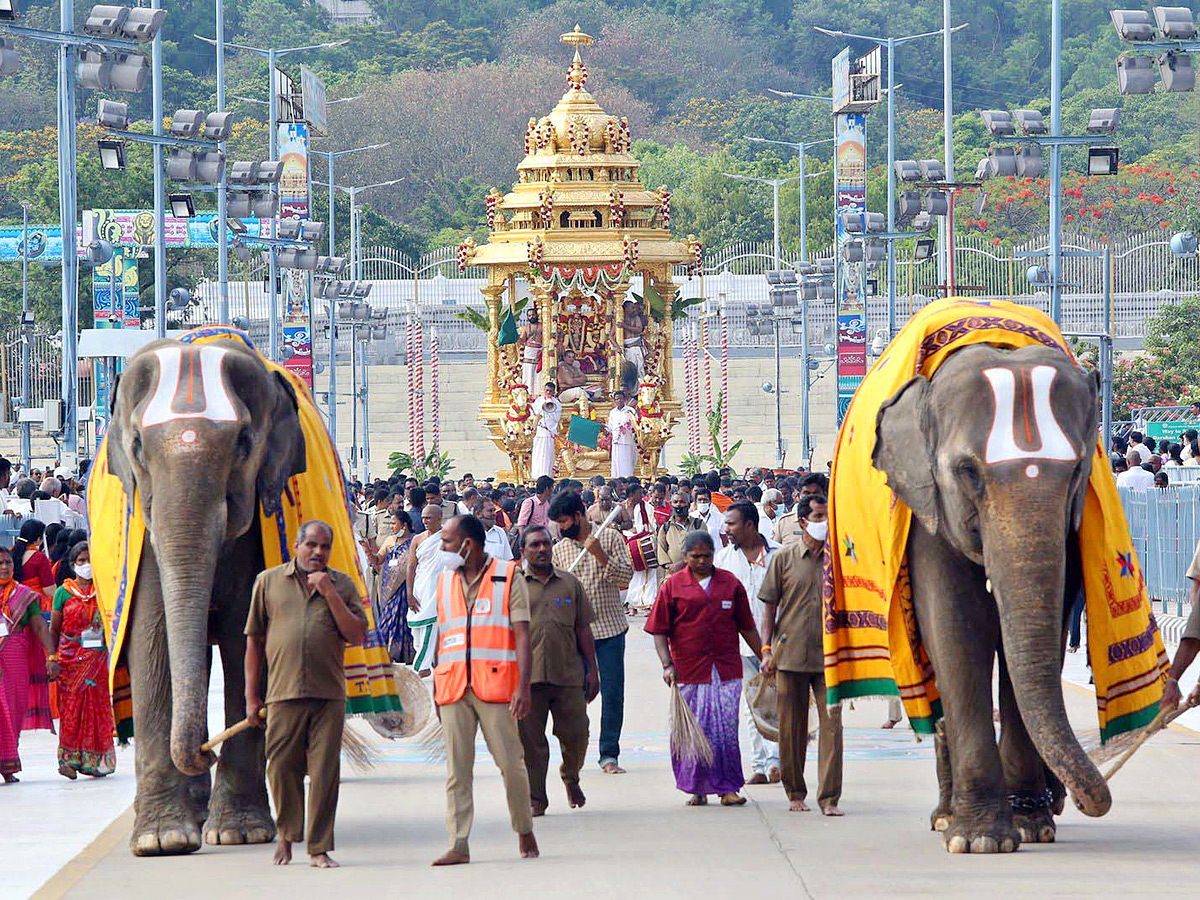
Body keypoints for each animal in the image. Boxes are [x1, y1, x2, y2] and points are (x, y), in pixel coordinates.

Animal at [103, 336, 307, 854]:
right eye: (138, 445)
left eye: (243, 442)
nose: (203, 752)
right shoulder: (145, 535)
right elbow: (152, 638)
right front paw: (163, 841)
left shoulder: (255, 529)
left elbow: (243, 638)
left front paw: (239, 833)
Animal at [868, 343, 1108, 854]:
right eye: (968, 472)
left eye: (1076, 471)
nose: (1081, 800)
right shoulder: (929, 516)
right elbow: (955, 628)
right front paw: (979, 840)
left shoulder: (1069, 530)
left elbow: (1044, 631)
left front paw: (1031, 826)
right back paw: (945, 817)